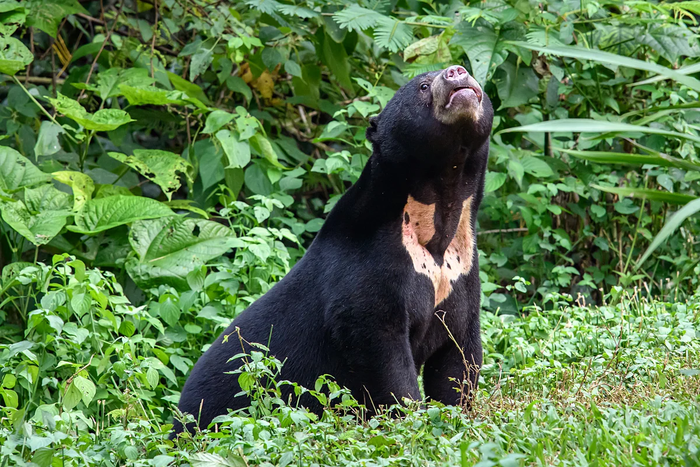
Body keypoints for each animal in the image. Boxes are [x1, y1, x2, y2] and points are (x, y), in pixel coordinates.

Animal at [173, 66, 494, 436]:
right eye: (423, 86)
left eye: (463, 69)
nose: (457, 72)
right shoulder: (368, 271)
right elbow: (383, 354)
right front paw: (413, 422)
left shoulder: (462, 275)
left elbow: (459, 358)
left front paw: (457, 417)